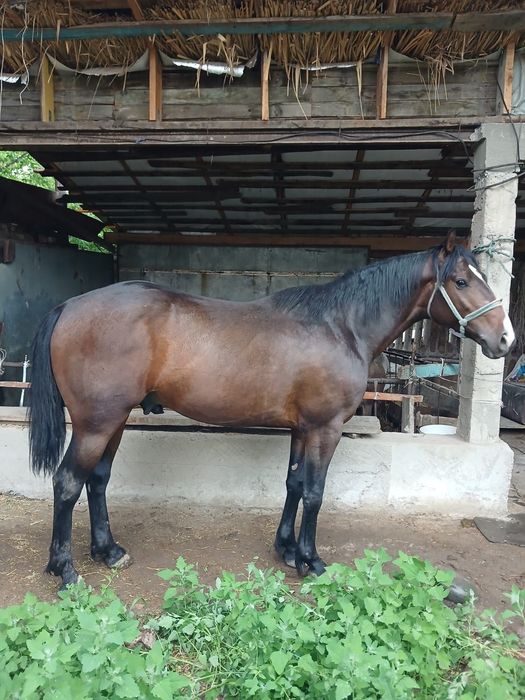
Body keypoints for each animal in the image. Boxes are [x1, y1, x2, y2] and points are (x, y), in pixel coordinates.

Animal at [28, 234, 514, 589]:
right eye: (462, 282)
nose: (506, 339)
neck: (340, 326)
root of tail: (70, 306)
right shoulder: (325, 429)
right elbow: (315, 493)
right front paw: (310, 560)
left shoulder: (303, 429)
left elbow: (294, 484)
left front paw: (286, 549)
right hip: (96, 424)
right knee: (67, 483)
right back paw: (64, 569)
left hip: (114, 422)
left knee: (97, 480)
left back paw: (108, 551)